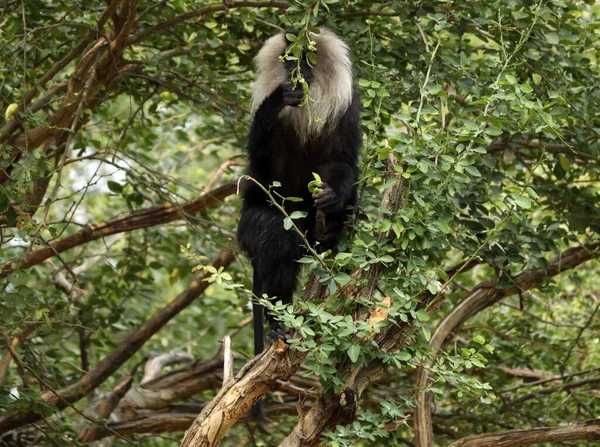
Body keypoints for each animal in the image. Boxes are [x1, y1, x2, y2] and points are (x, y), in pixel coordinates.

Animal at [237, 27, 360, 364]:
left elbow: (342, 161)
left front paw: (333, 199)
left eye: (308, 58)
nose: (297, 73)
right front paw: (279, 99)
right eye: (290, 59)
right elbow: (263, 170)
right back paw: (279, 323)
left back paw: (330, 231)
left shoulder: (347, 108)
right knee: (276, 235)